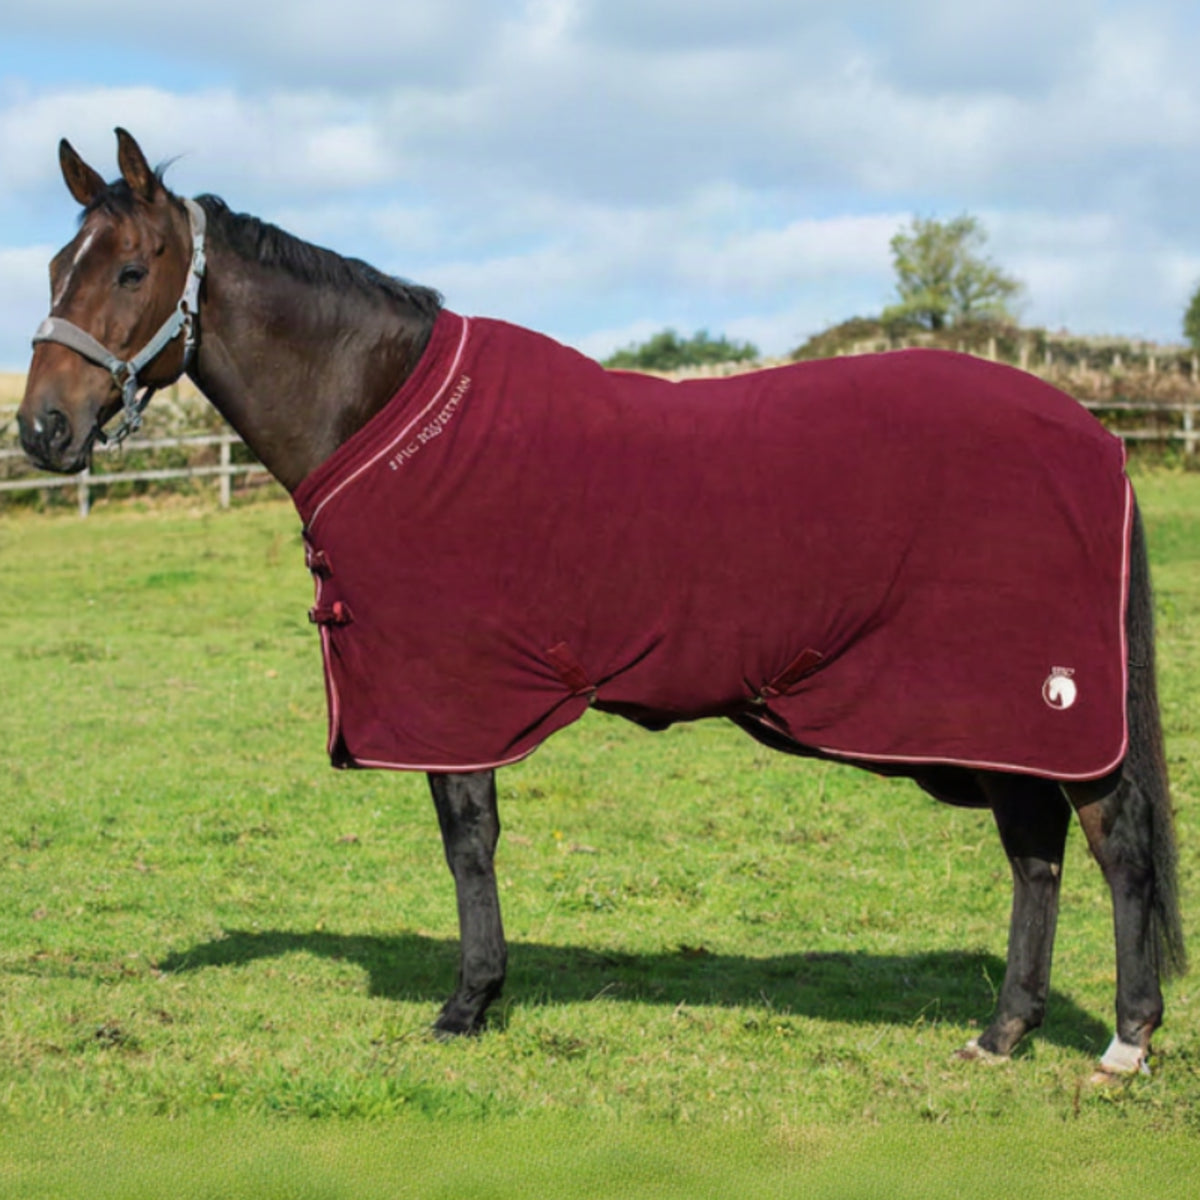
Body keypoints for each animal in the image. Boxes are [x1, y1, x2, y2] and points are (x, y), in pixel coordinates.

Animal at [19, 129, 1186, 1080]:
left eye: (130, 267)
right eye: (56, 268)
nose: (40, 430)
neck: (382, 410)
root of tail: (1094, 436)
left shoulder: (455, 691)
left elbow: (469, 839)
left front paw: (470, 1002)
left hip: (1041, 707)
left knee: (1115, 845)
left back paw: (1125, 1042)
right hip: (991, 719)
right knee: (1037, 850)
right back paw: (1004, 1032)